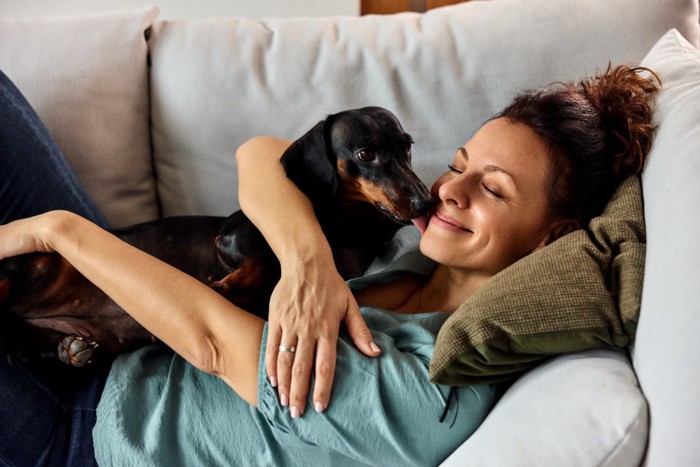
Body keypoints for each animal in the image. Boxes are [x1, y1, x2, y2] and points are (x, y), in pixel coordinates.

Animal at [0, 107, 434, 370]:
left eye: (408, 146)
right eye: (365, 154)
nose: (426, 202)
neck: (348, 224)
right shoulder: (235, 235)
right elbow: (265, 259)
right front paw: (224, 291)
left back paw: (69, 350)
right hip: (30, 267)